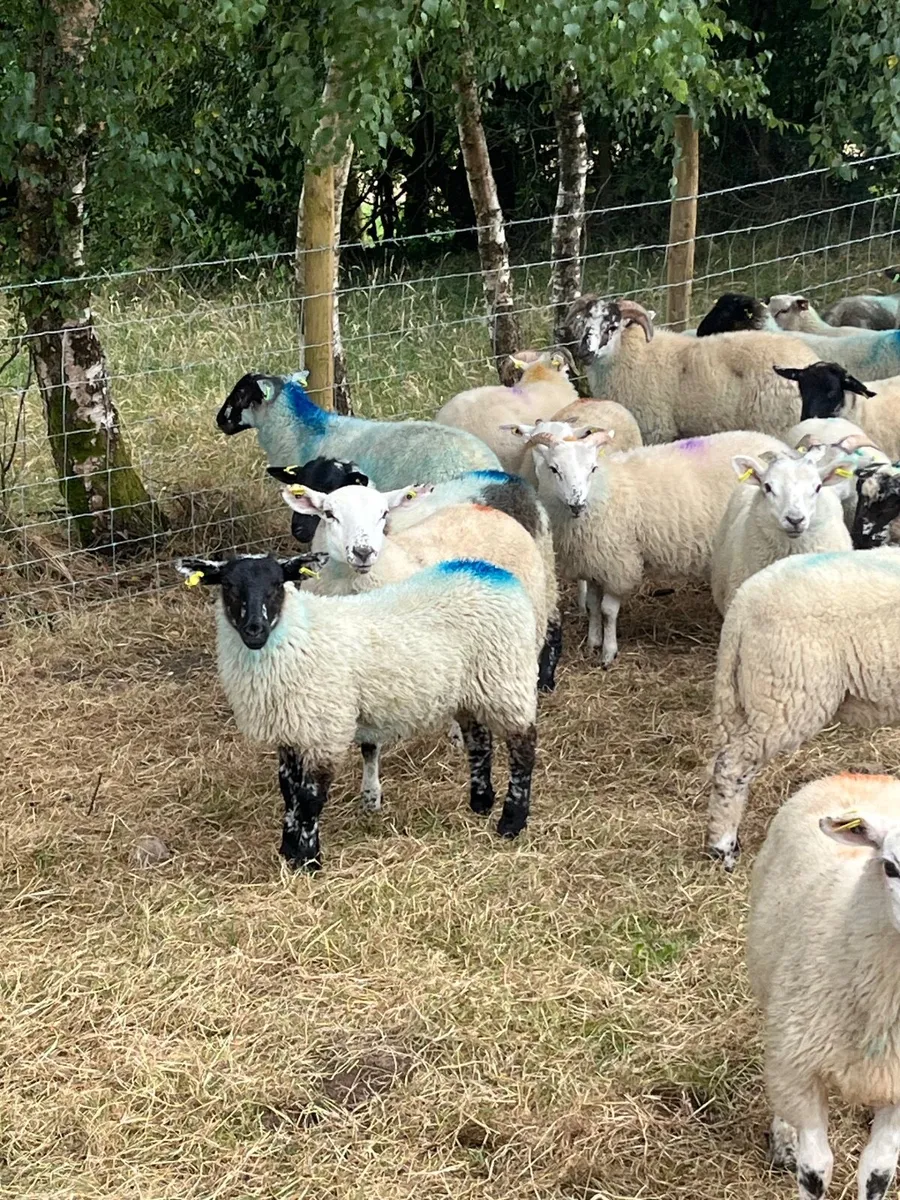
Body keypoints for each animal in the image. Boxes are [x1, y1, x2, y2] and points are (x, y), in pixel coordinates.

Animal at [176, 552, 539, 871]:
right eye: (228, 585)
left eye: (277, 584)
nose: (254, 629)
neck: (299, 635)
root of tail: (490, 571)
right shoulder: (290, 729)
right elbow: (288, 791)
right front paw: (287, 849)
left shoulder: (325, 728)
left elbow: (309, 798)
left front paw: (308, 860)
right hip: (469, 690)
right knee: (479, 742)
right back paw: (480, 803)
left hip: (506, 679)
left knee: (523, 747)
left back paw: (511, 821)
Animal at [504, 424, 787, 666]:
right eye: (554, 469)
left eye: (592, 468)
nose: (577, 503)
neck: (603, 491)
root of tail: (775, 443)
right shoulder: (593, 561)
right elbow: (593, 605)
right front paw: (592, 642)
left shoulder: (617, 562)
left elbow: (607, 611)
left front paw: (608, 652)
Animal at [560, 296, 819, 443]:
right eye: (584, 323)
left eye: (612, 327)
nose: (585, 352)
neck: (632, 354)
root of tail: (809, 360)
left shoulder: (656, 430)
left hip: (777, 425)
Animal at [747, 772, 900, 1200]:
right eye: (891, 867)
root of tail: (860, 775)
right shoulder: (801, 1070)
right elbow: (815, 1169)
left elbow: (878, 1170)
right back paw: (783, 1137)